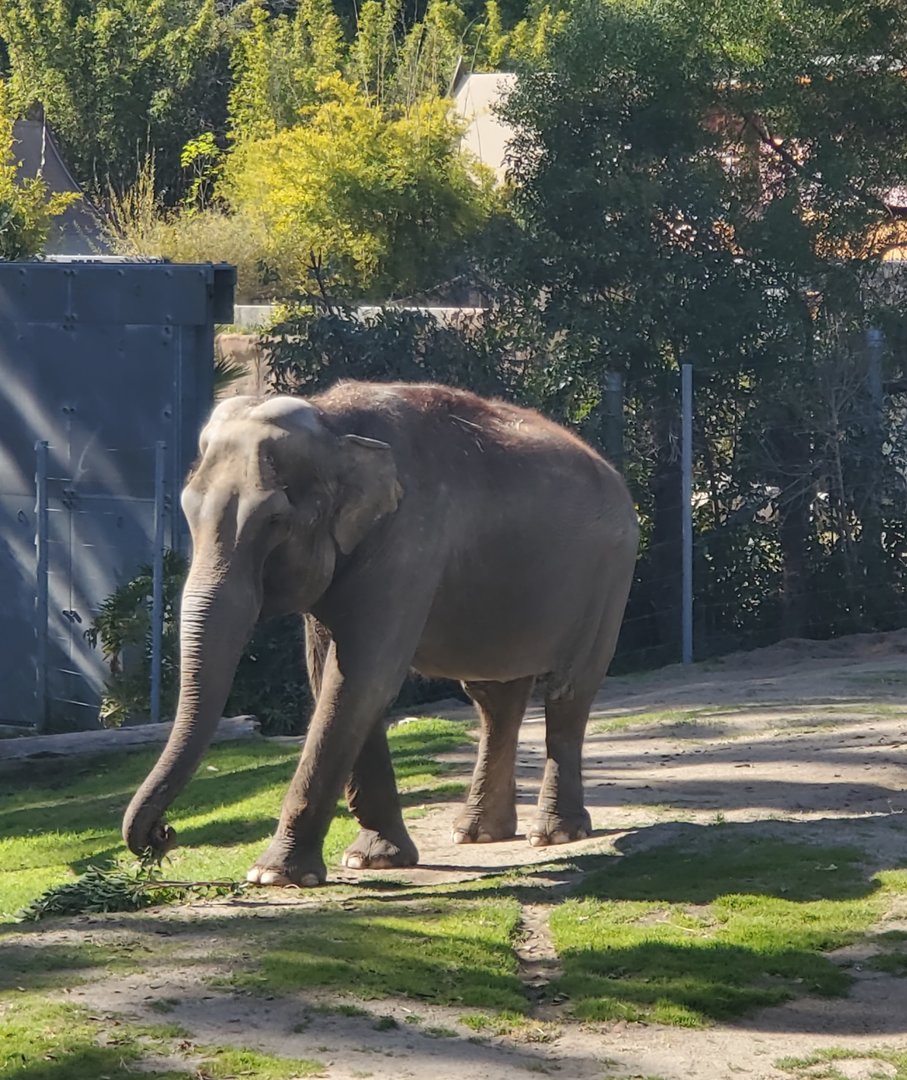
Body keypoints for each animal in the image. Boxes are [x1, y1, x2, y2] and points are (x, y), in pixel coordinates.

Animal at [123, 380, 639, 887]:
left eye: (274, 521)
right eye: (187, 510)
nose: (164, 835)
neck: (331, 420)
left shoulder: (409, 539)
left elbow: (361, 679)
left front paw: (273, 875)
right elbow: (337, 680)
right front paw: (371, 861)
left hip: (609, 578)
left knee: (569, 692)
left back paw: (554, 834)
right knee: (495, 699)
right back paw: (475, 833)